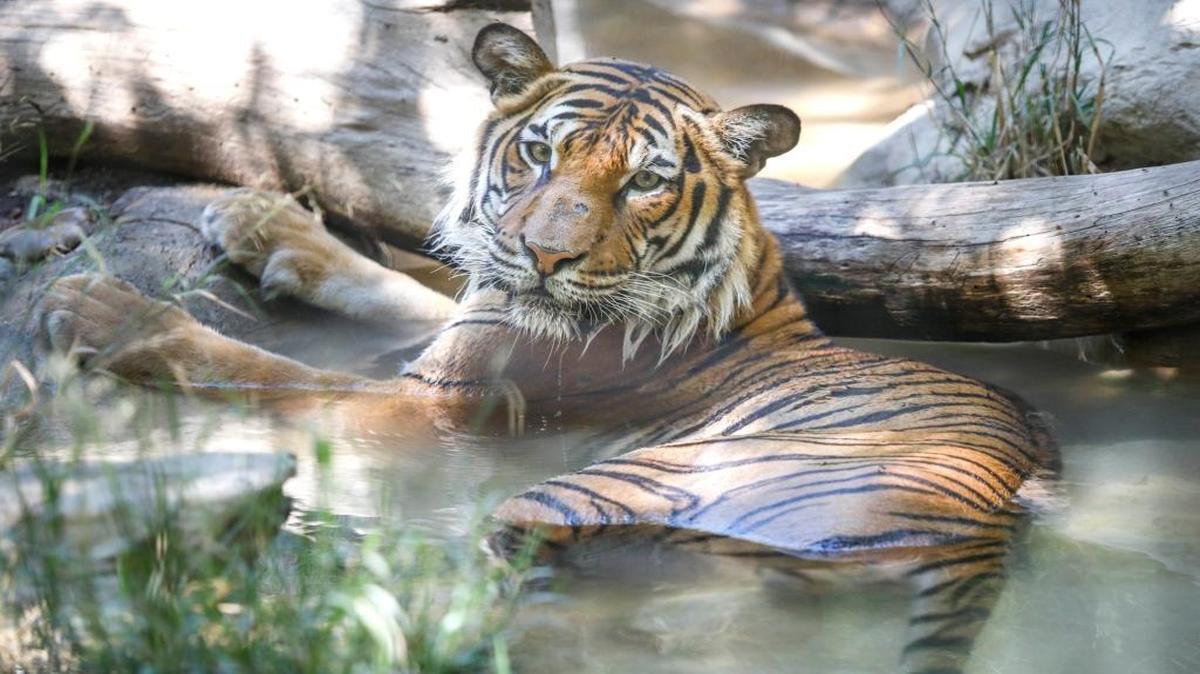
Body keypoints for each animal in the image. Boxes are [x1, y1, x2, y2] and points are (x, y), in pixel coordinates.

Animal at [37, 23, 1056, 674]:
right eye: (539, 152)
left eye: (644, 181)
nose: (543, 255)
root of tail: (986, 530)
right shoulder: (466, 325)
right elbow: (401, 288)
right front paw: (261, 218)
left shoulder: (431, 406)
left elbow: (263, 369)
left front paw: (96, 307)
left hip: (591, 492)